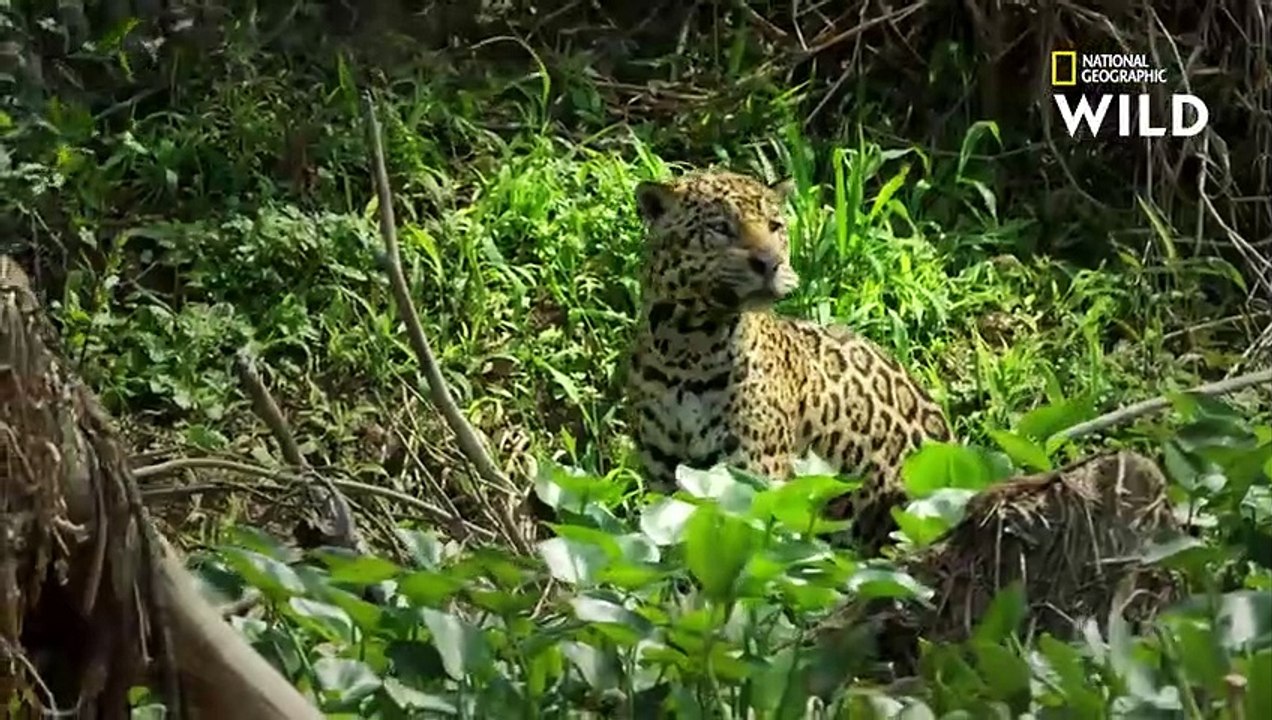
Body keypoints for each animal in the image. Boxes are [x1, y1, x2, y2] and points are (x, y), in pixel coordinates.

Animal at [623, 169, 953, 554]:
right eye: (720, 227)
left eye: (775, 226)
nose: (770, 263)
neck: (688, 347)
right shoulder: (663, 474)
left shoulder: (752, 473)